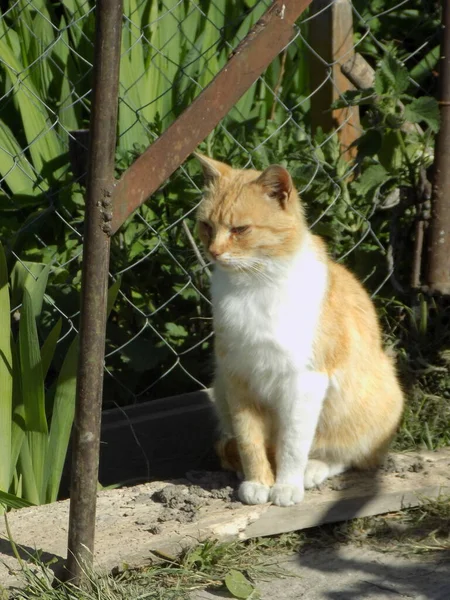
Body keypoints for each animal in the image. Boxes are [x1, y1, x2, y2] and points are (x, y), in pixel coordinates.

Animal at [196, 155, 404, 506]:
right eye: (207, 226)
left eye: (240, 230)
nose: (214, 252)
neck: (255, 286)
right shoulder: (238, 379)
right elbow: (249, 440)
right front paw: (258, 481)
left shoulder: (305, 382)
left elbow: (292, 445)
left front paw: (286, 485)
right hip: (220, 388)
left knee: (350, 455)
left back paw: (313, 469)